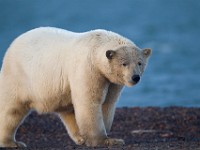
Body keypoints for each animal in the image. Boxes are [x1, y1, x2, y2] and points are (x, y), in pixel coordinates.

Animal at [0, 27, 151, 148]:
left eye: (139, 63)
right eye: (124, 63)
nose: (135, 77)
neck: (96, 46)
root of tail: (13, 44)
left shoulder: (111, 81)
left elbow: (108, 103)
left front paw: (110, 136)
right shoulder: (88, 68)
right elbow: (89, 101)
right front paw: (104, 140)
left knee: (67, 109)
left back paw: (80, 137)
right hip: (18, 76)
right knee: (11, 109)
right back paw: (12, 142)